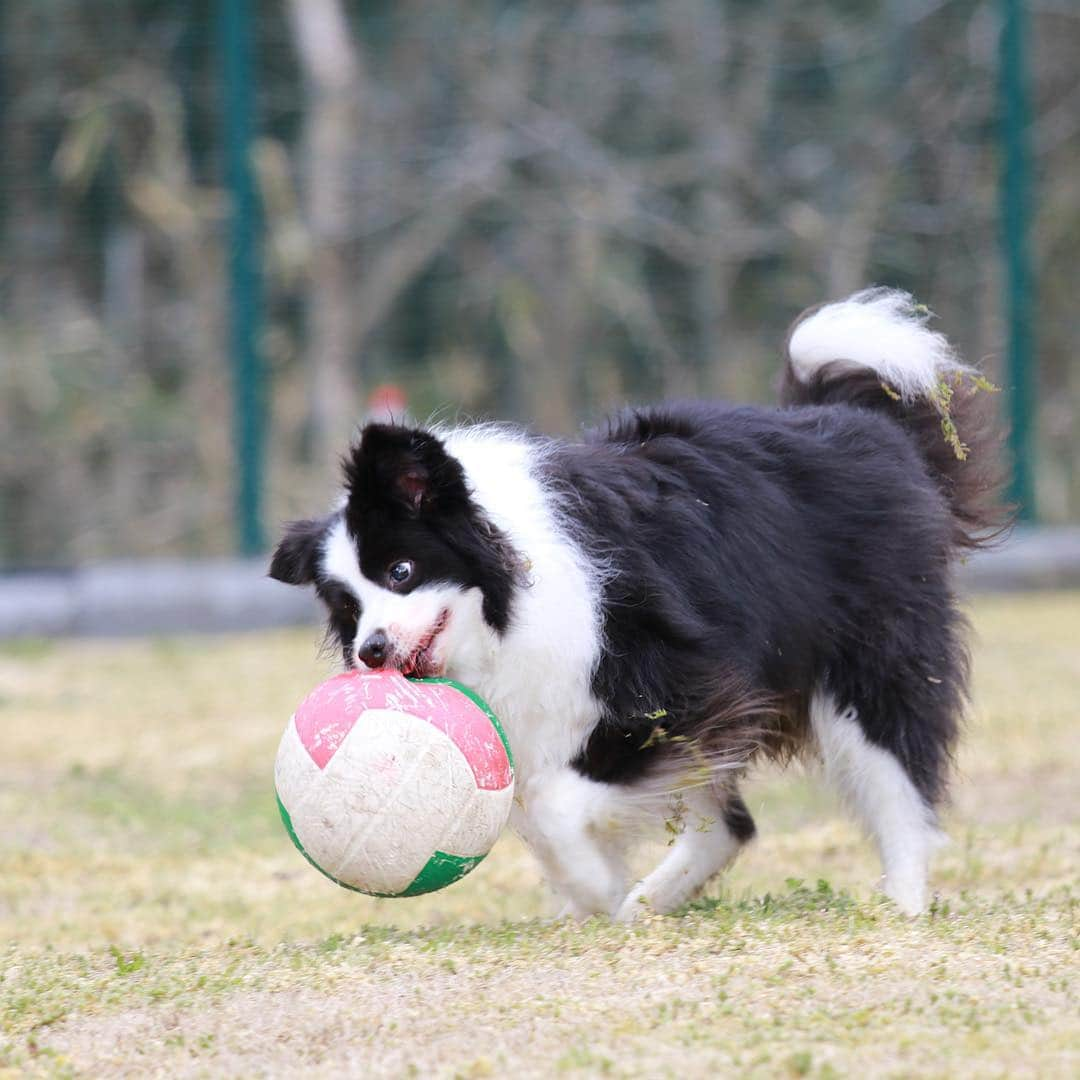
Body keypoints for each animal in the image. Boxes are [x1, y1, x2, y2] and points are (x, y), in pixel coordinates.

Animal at [267, 289, 1002, 920]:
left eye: (401, 571)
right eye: (346, 608)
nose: (372, 654)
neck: (510, 601)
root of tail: (865, 426)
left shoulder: (677, 674)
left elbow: (556, 802)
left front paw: (595, 886)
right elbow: (536, 805)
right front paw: (590, 898)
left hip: (868, 655)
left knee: (892, 770)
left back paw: (902, 901)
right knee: (730, 825)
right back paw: (650, 903)